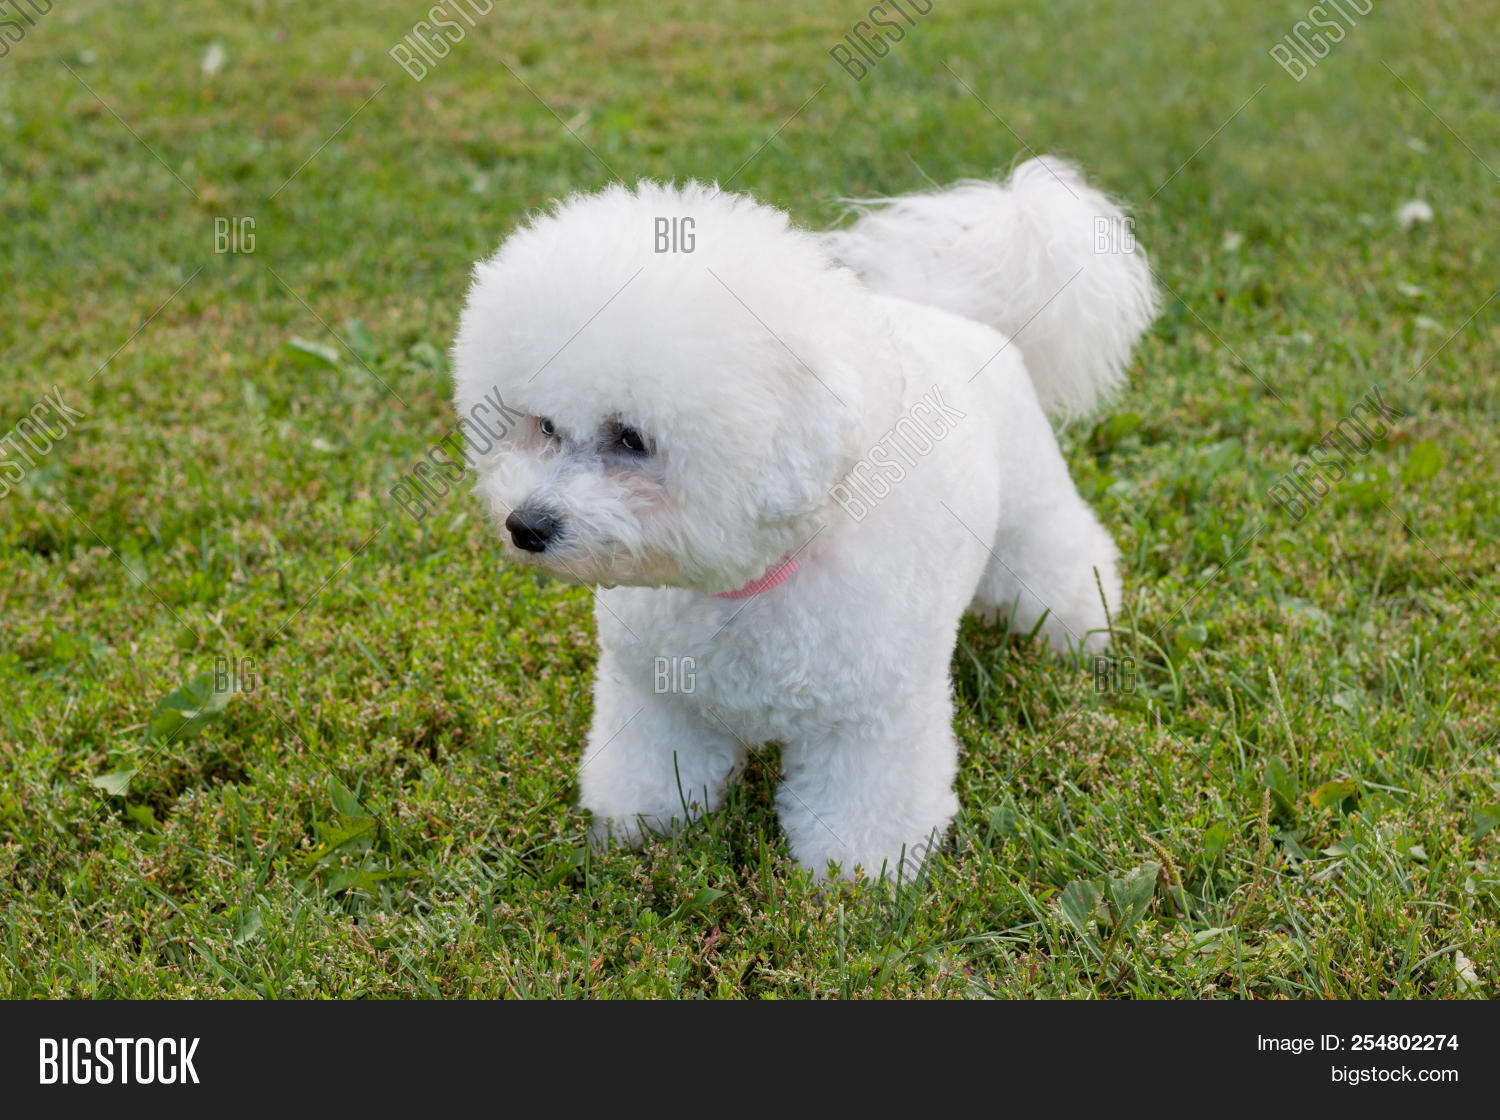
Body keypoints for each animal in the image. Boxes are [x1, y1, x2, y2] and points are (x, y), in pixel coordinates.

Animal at [450, 153, 1152, 881]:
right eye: (544, 427)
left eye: (631, 439)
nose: (524, 526)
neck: (749, 586)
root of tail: (959, 314)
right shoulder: (657, 697)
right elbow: (650, 771)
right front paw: (637, 829)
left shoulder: (870, 721)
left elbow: (866, 808)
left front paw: (859, 876)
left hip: (1031, 512)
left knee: (1062, 561)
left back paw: (1081, 638)